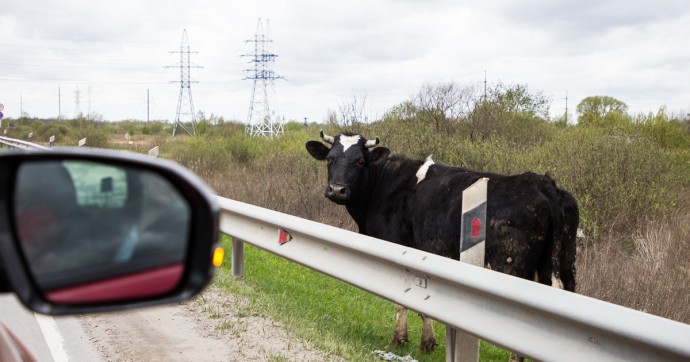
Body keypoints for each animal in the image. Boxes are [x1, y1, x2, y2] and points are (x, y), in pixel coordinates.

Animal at [304, 132, 576, 352]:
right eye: (330, 159)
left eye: (360, 161)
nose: (336, 189)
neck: (382, 185)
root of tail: (544, 183)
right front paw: (427, 343)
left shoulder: (397, 246)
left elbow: (402, 298)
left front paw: (401, 340)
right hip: (562, 266)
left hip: (511, 266)